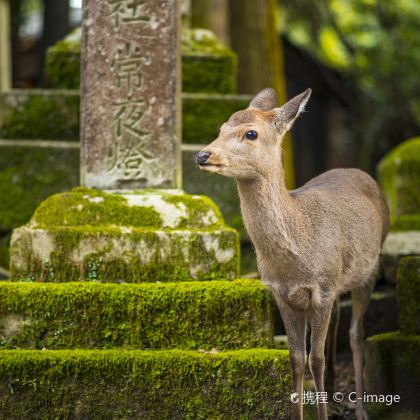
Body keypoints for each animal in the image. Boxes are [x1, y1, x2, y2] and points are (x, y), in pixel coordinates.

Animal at [197, 87, 390, 418]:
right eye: (221, 128)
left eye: (251, 133)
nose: (202, 155)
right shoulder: (282, 293)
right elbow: (297, 360)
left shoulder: (322, 288)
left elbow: (316, 359)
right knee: (338, 325)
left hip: (369, 269)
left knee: (355, 335)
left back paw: (361, 408)